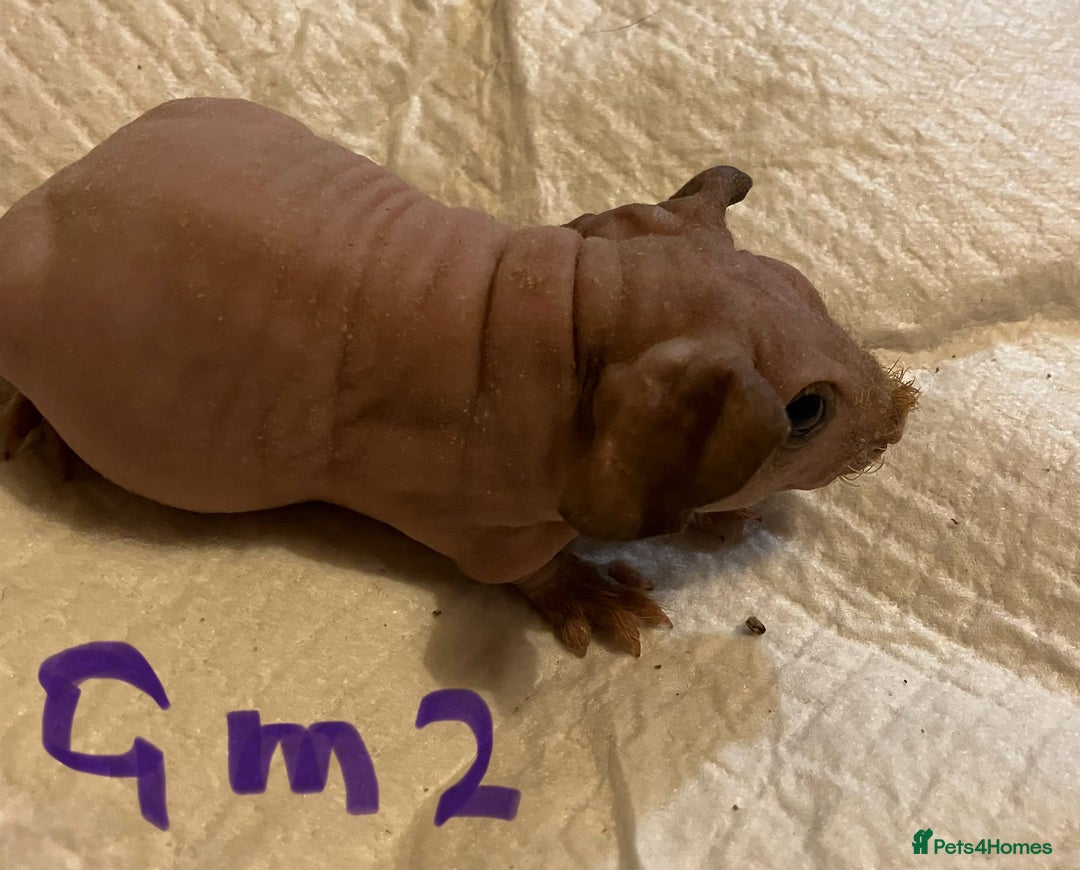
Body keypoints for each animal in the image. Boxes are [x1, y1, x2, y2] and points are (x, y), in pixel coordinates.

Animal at [0, 98, 917, 656]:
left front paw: (726, 517)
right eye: (807, 411)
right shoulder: (480, 515)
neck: (566, 309)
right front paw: (588, 590)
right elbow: (515, 566)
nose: (902, 411)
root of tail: (49, 193)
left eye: (808, 289)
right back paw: (37, 427)